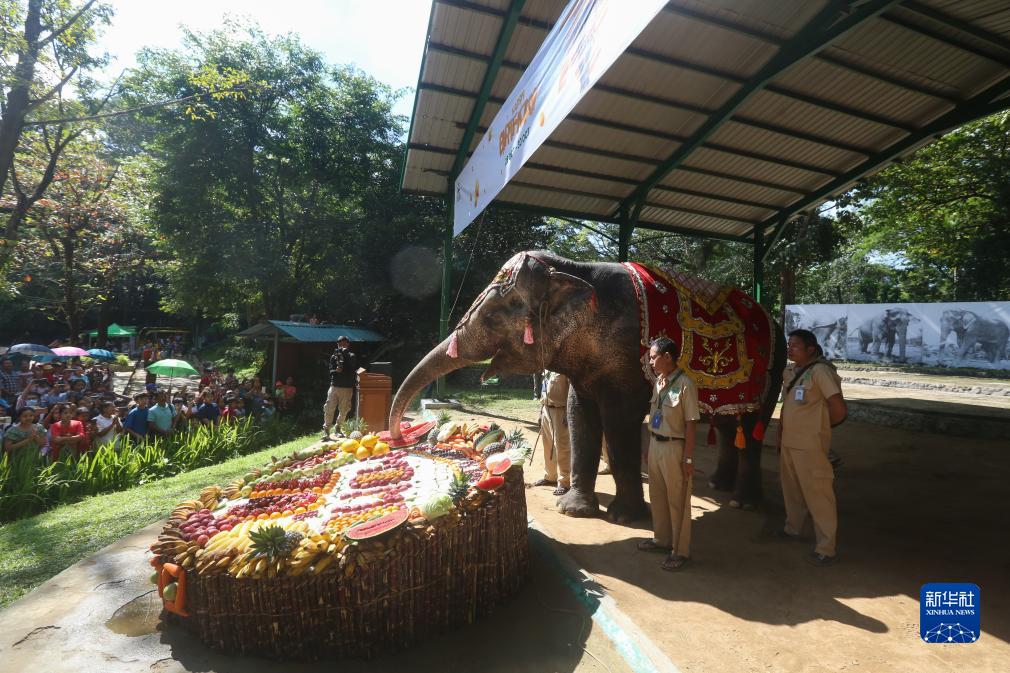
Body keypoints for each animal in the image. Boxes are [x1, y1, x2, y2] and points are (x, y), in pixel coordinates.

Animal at [387, 251, 787, 517]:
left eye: (493, 317)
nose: (401, 438)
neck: (573, 271)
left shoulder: (629, 355)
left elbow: (619, 421)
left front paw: (625, 517)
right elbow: (579, 414)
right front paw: (573, 509)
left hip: (774, 368)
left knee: (752, 426)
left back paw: (744, 501)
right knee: (728, 425)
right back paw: (721, 485)